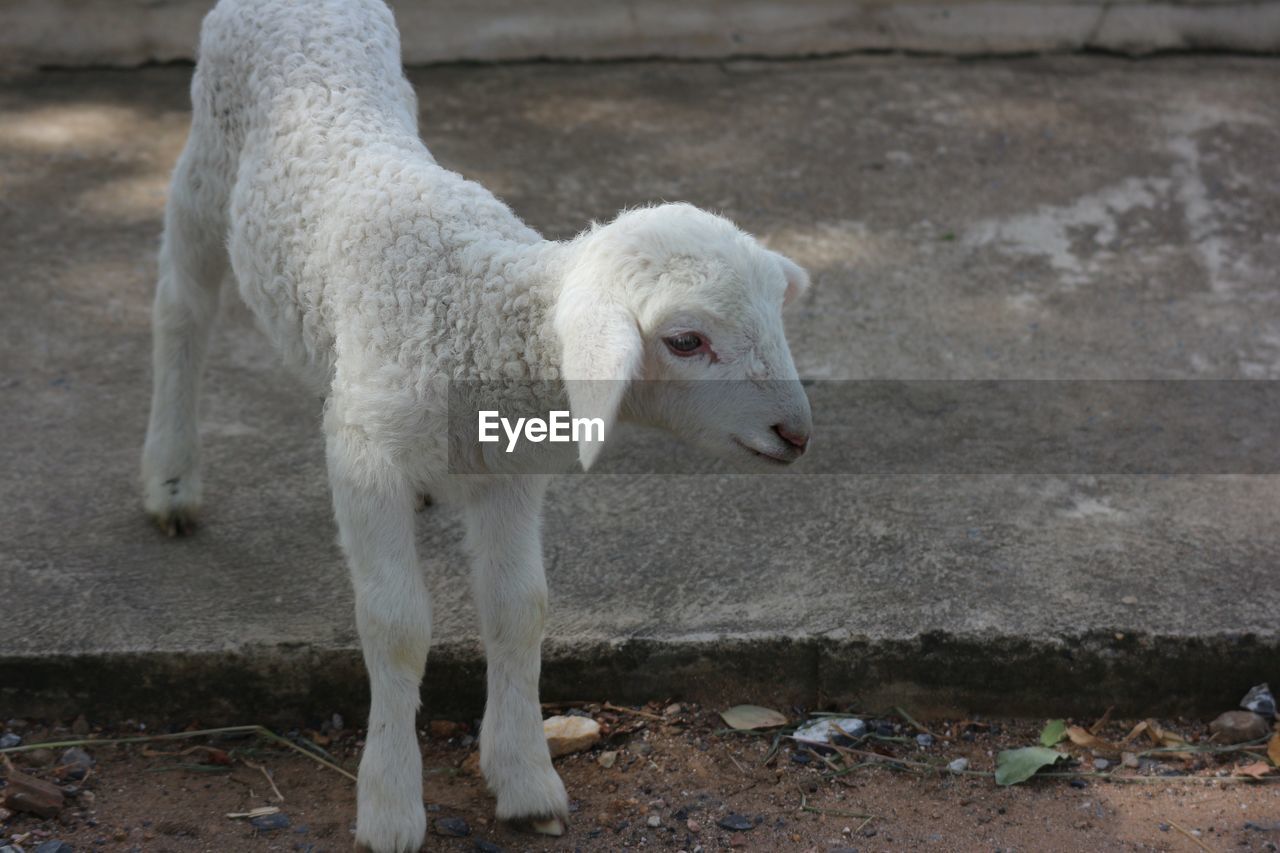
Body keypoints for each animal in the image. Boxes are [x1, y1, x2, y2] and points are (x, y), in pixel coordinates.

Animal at [142, 1, 808, 850]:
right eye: (686, 340)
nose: (797, 432)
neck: (477, 310)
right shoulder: (367, 458)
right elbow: (395, 623)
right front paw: (390, 802)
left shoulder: (508, 468)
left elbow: (520, 609)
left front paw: (525, 779)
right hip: (208, 151)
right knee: (182, 302)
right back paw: (171, 478)